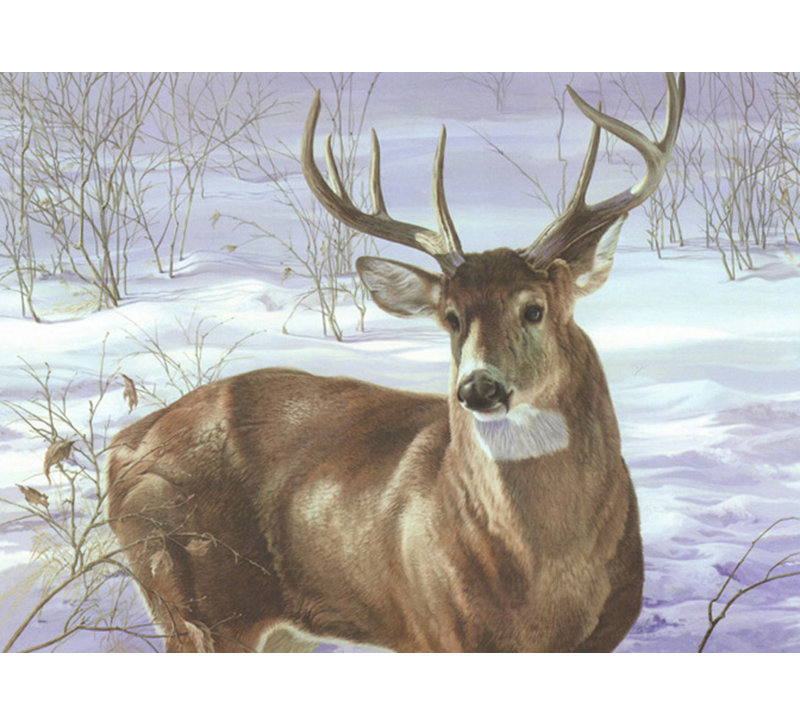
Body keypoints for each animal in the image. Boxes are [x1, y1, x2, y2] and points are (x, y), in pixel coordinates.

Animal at [106, 73, 685, 652]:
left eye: (534, 308)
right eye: (451, 318)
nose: (478, 388)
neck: (546, 579)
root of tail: (122, 444)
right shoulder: (435, 628)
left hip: (278, 627)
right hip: (194, 600)